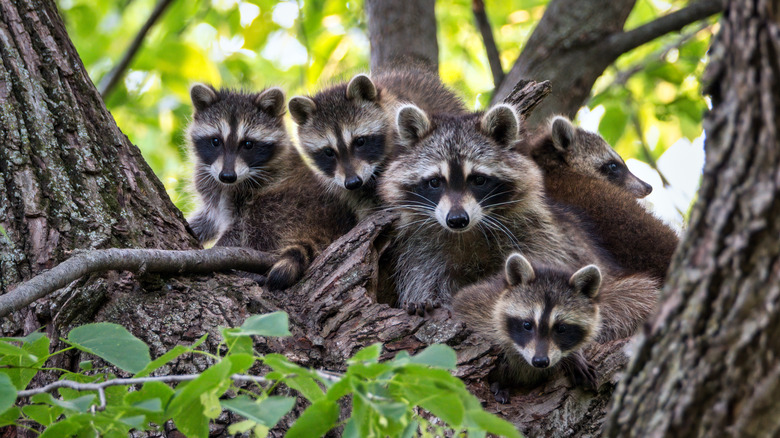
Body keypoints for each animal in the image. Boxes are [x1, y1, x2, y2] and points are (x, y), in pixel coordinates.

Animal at [379, 103, 611, 314]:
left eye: (478, 179)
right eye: (435, 182)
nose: (457, 220)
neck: (466, 233)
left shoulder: (536, 233)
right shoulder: (420, 246)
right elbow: (424, 277)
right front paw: (425, 298)